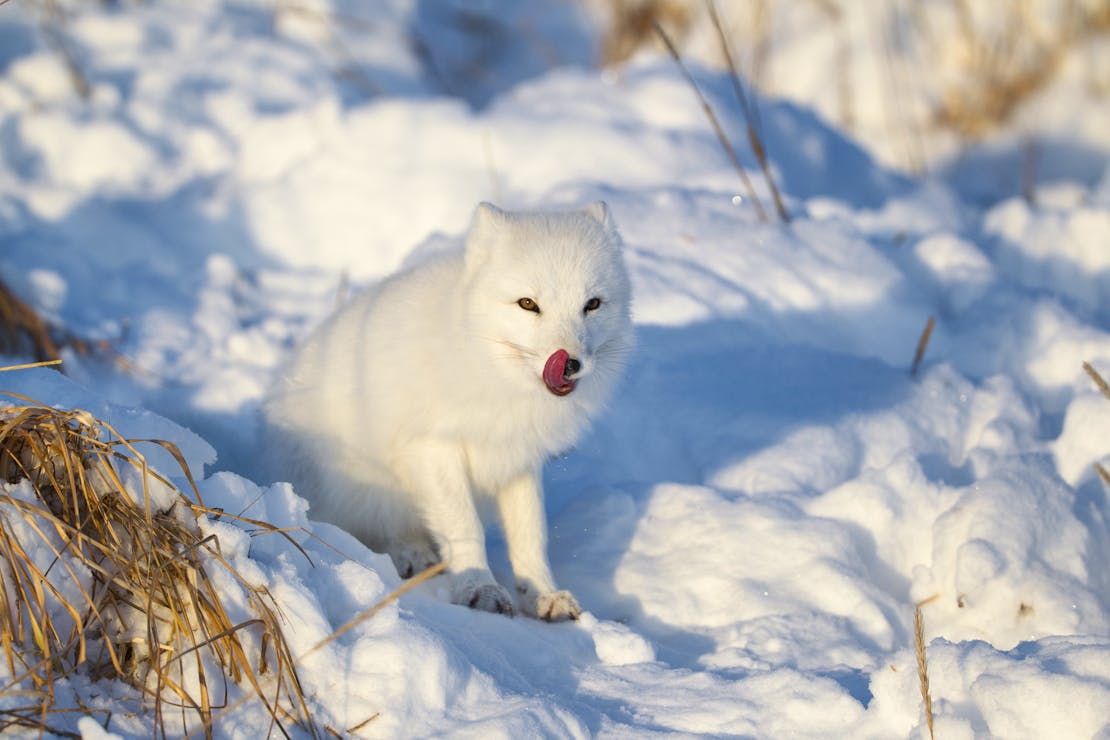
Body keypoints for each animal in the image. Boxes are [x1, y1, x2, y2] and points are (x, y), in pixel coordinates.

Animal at [262, 202, 633, 620]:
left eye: (592, 304)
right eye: (528, 304)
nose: (569, 363)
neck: (491, 368)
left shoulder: (518, 459)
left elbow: (530, 535)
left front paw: (542, 594)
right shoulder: (432, 448)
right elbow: (464, 527)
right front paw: (479, 589)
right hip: (363, 485)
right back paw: (412, 555)